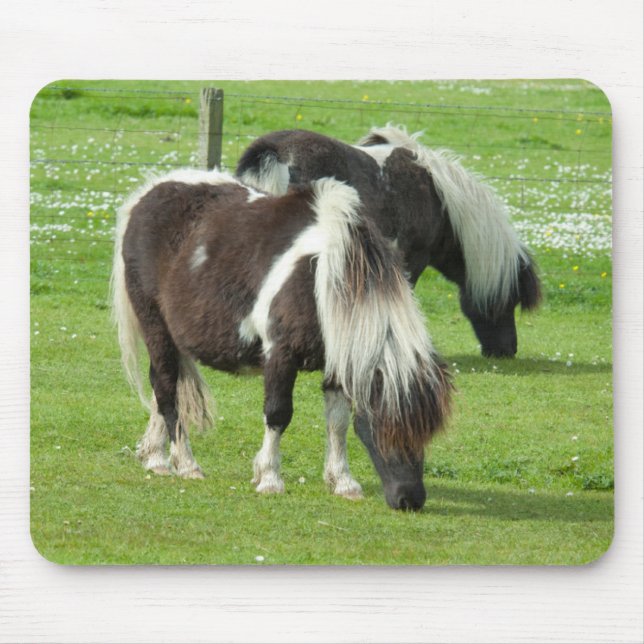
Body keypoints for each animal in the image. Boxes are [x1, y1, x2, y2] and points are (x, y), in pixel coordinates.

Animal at [111, 168, 452, 510]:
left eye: (428, 433)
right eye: (384, 427)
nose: (410, 499)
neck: (322, 276)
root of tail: (148, 194)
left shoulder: (339, 360)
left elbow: (338, 420)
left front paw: (343, 482)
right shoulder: (280, 354)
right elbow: (278, 414)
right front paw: (270, 479)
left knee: (164, 388)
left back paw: (155, 456)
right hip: (155, 325)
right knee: (166, 386)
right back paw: (184, 463)